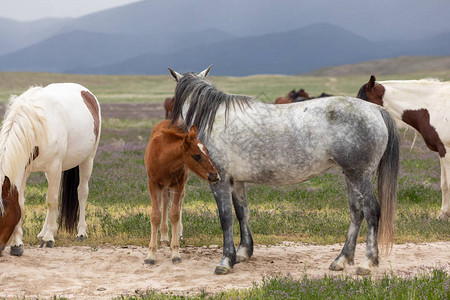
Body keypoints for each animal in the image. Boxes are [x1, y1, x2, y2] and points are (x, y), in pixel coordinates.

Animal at [0, 83, 101, 256]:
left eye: (2, 214)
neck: (35, 127)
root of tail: (86, 92)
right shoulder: (23, 171)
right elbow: (20, 202)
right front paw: (17, 244)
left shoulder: (55, 167)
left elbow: (52, 201)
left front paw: (49, 239)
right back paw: (43, 231)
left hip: (88, 158)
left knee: (82, 192)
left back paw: (81, 233)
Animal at [144, 118, 220, 264]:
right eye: (196, 156)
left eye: (207, 151)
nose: (215, 176)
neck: (164, 159)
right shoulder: (153, 184)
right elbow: (155, 215)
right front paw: (151, 255)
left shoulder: (178, 184)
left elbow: (174, 214)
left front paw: (175, 253)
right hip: (164, 186)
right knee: (165, 201)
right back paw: (164, 237)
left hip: (179, 183)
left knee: (177, 205)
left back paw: (178, 233)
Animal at [358, 75, 450, 220]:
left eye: (363, 101)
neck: (433, 107)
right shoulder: (442, 150)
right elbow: (444, 184)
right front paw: (444, 214)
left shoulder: (447, 150)